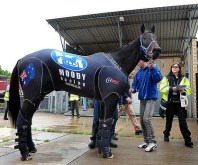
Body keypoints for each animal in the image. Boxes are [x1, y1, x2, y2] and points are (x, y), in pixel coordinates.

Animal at [8, 23, 161, 160]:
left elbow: (102, 124)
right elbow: (107, 123)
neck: (116, 62)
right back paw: (25, 153)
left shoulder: (104, 101)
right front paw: (106, 152)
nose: (156, 50)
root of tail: (22, 59)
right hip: (31, 97)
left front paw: (100, 148)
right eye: (145, 38)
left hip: (37, 97)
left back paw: (31, 147)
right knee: (22, 119)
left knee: (28, 120)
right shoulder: (110, 99)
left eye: (155, 37)